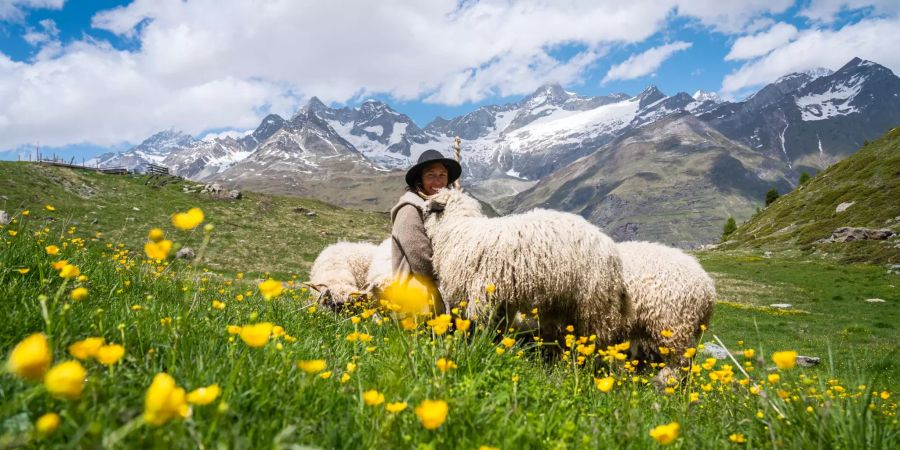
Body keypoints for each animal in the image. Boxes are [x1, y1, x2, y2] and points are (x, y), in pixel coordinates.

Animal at [420, 188, 624, 350]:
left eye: (428, 210)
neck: (458, 229)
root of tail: (610, 247)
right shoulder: (503, 299)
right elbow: (500, 326)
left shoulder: (481, 293)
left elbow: (480, 324)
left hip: (593, 301)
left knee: (599, 337)